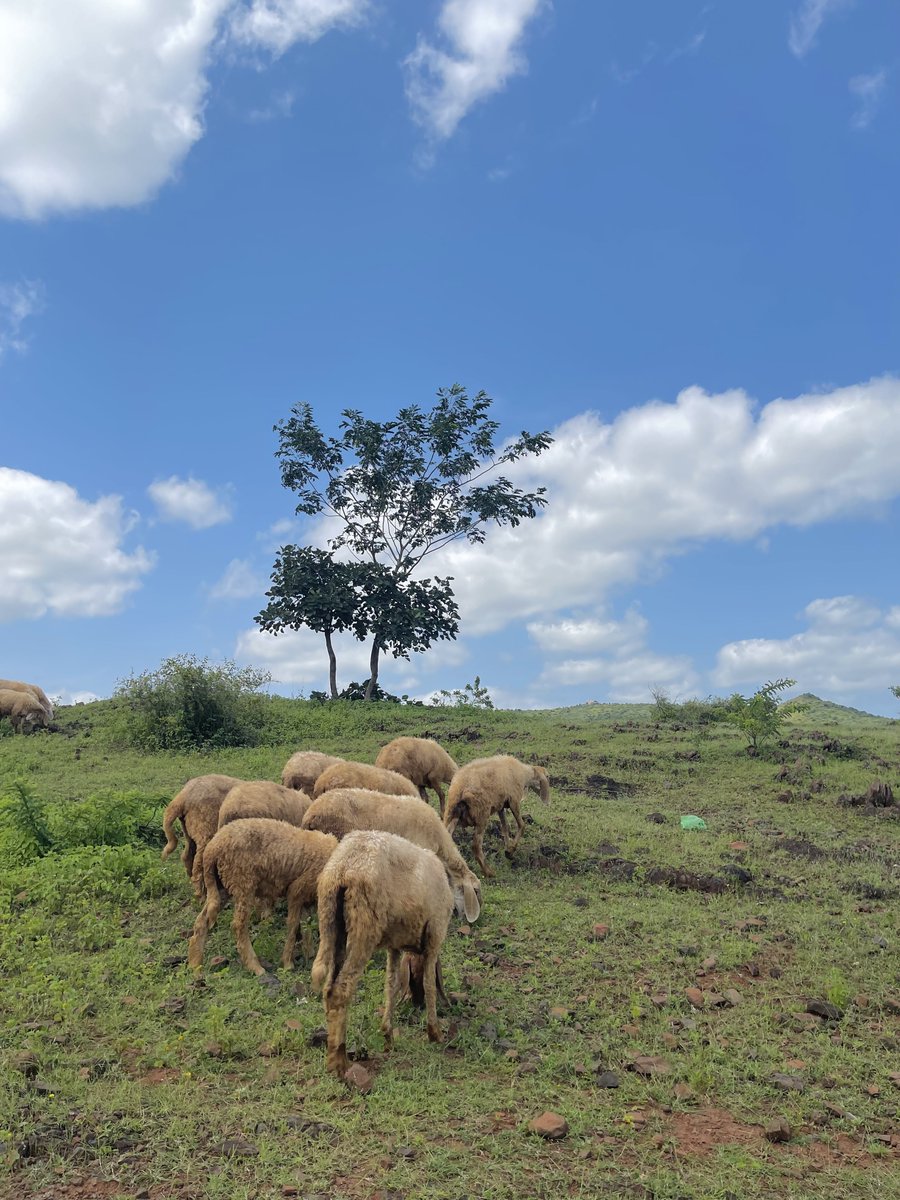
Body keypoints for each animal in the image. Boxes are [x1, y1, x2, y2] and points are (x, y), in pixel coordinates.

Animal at [188, 818, 338, 976]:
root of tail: (212, 847)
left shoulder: (307, 898)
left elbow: (306, 925)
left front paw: (309, 953)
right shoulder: (296, 890)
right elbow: (293, 925)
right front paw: (288, 963)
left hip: (221, 884)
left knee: (202, 920)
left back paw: (195, 964)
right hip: (243, 882)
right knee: (238, 925)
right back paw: (255, 966)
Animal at [312, 829, 464, 1076]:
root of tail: (345, 866)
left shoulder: (395, 945)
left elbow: (391, 984)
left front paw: (387, 1034)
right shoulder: (435, 934)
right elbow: (430, 983)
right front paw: (434, 1032)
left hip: (331, 922)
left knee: (328, 988)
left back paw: (334, 1055)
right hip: (364, 926)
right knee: (340, 990)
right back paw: (340, 1062)